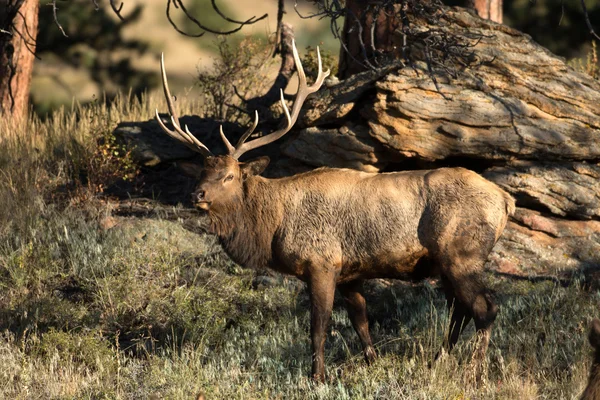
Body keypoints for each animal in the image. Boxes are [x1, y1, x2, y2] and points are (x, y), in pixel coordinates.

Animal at [155, 40, 516, 382]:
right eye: (202, 172)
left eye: (229, 176)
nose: (197, 194)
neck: (273, 227)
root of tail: (504, 200)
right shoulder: (350, 273)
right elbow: (361, 322)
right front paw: (372, 362)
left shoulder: (321, 263)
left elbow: (319, 327)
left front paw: (317, 376)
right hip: (444, 263)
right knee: (460, 309)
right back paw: (438, 361)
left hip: (462, 253)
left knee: (486, 308)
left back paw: (475, 374)